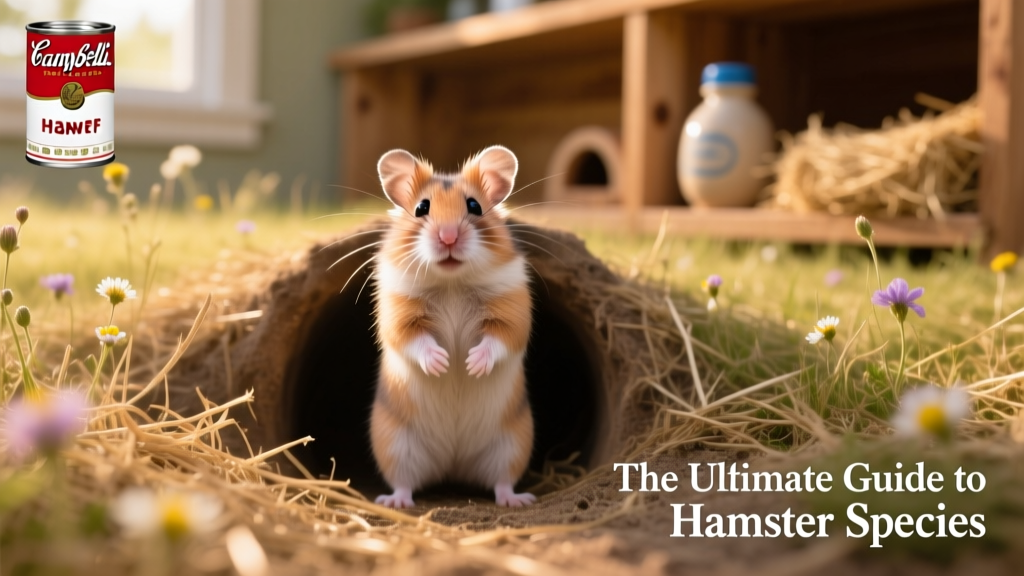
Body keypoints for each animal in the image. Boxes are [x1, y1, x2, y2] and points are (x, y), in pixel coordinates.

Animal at [369, 145, 536, 509]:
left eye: (474, 206)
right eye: (421, 208)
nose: (448, 238)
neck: (452, 283)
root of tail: (453, 464)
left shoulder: (513, 312)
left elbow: (500, 339)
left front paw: (471, 365)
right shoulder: (397, 314)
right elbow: (413, 339)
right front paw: (443, 363)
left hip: (512, 443)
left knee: (502, 481)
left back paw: (518, 500)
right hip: (395, 443)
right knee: (404, 481)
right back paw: (394, 502)